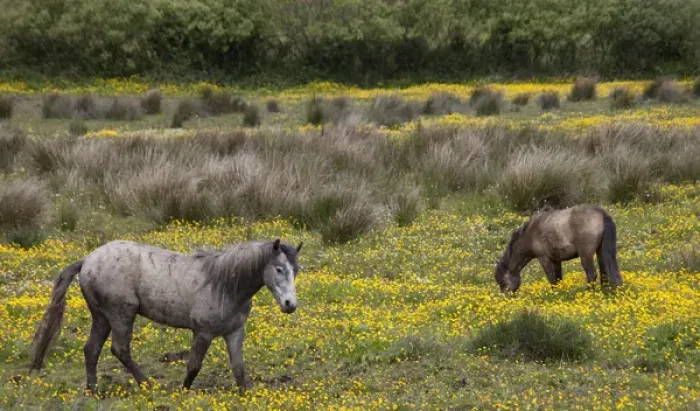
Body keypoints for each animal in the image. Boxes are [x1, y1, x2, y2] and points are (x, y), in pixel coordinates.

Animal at [29, 238, 303, 393]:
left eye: (296, 270)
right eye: (279, 269)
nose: (290, 304)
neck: (224, 284)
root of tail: (87, 260)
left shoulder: (235, 332)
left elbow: (239, 369)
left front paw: (244, 395)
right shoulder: (203, 333)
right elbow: (193, 366)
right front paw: (182, 393)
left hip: (102, 317)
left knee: (91, 349)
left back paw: (93, 391)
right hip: (121, 314)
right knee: (120, 349)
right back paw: (147, 384)